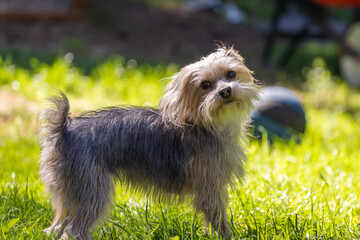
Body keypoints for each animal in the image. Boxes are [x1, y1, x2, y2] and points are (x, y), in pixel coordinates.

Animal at [38, 46, 258, 239]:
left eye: (231, 74)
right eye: (205, 85)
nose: (225, 91)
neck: (207, 123)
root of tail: (64, 130)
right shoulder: (210, 189)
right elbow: (219, 220)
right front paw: (228, 237)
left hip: (70, 193)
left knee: (57, 226)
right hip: (92, 192)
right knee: (74, 230)